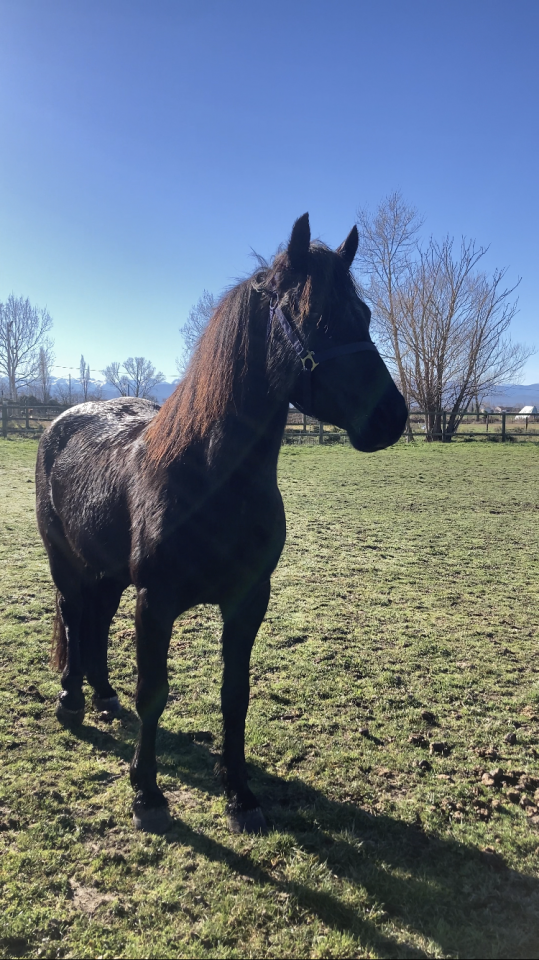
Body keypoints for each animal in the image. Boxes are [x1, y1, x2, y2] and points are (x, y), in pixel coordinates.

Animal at [36, 214, 408, 835]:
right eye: (319, 317)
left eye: (367, 315)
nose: (392, 417)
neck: (211, 478)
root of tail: (59, 423)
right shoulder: (155, 601)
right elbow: (153, 693)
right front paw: (147, 795)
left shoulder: (247, 599)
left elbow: (236, 694)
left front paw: (240, 794)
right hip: (65, 560)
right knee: (70, 612)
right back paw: (71, 703)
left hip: (107, 572)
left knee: (96, 622)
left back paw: (103, 695)